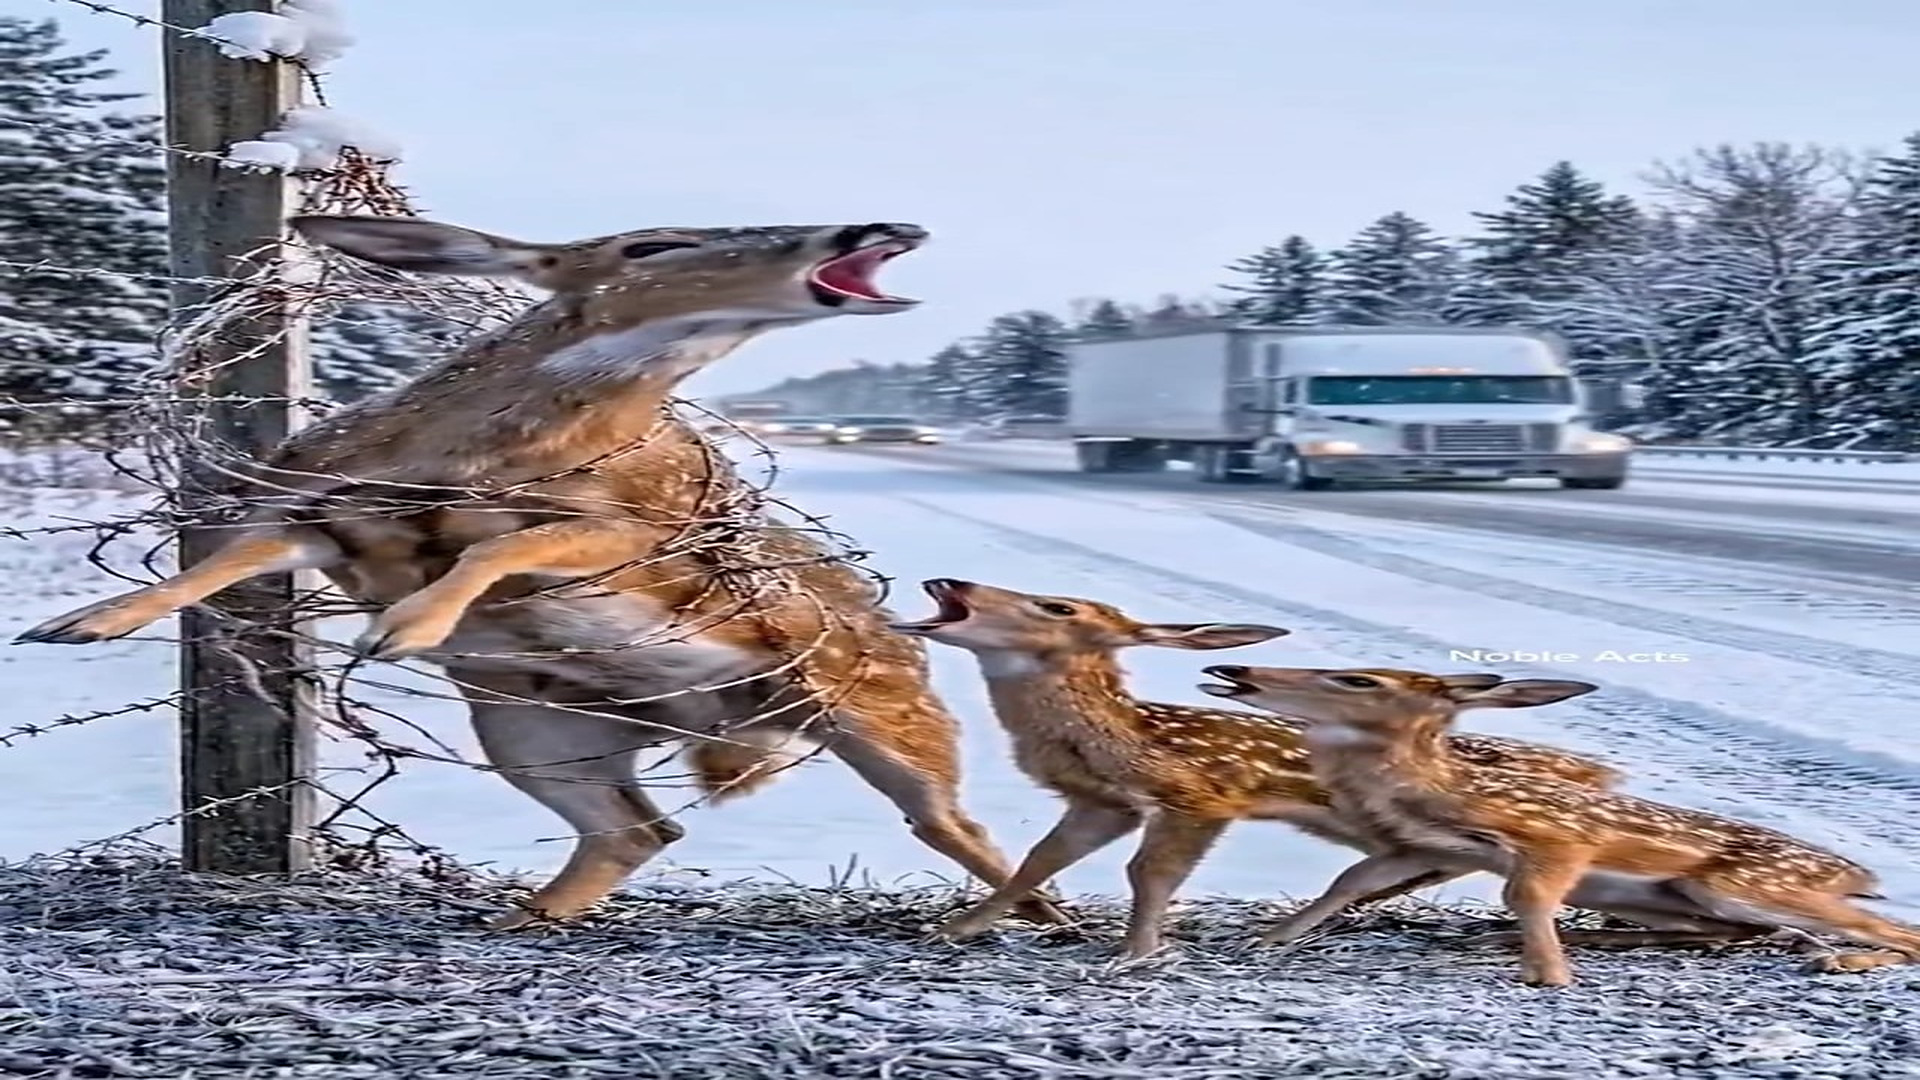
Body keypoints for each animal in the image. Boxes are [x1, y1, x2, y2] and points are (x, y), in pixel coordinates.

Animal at [16, 214, 1066, 930]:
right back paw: (527, 915)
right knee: (639, 828)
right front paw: (77, 622)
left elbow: (503, 545)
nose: (877, 226)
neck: (465, 459)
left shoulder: (628, 532)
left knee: (954, 824)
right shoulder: (326, 510)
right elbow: (221, 558)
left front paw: (408, 627)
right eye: (651, 244)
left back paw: (1038, 921)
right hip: (531, 725)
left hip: (890, 715)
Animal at [886, 578, 1623, 959]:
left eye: (1056, 605)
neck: (1128, 736)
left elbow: (1150, 873)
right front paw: (954, 929)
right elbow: (1038, 860)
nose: (949, 580)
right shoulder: (1104, 800)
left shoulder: (1200, 794)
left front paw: (1136, 952)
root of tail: (1605, 775)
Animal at [1199, 664, 1920, 985]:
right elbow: (1349, 879)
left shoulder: (1562, 840)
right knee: (1735, 933)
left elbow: (1525, 892)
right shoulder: (1429, 848)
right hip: (1671, 899)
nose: (1231, 669)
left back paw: (1848, 958)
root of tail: (1859, 871)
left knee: (1893, 929)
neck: (1440, 792)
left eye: (1358, 679)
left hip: (1746, 883)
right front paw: (1262, 939)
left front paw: (1547, 973)